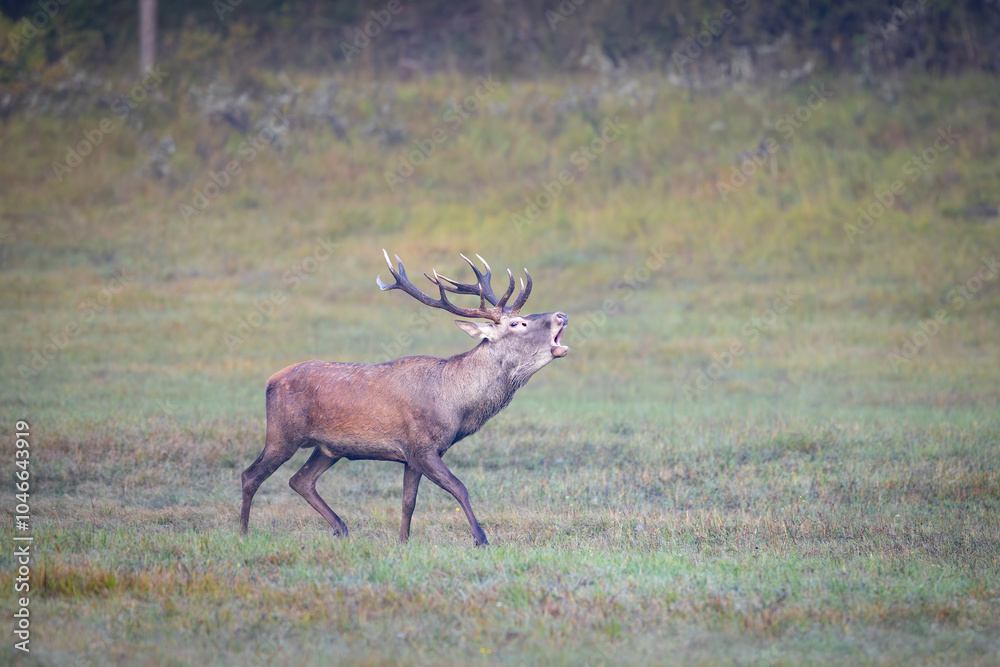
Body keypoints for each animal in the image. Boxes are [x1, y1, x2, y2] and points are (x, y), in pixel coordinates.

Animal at [240, 250, 569, 547]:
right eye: (517, 324)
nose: (561, 315)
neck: (456, 405)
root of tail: (271, 380)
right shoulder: (423, 446)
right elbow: (459, 488)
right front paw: (481, 540)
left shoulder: (412, 455)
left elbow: (408, 501)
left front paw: (403, 542)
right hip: (282, 433)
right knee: (250, 475)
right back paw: (242, 533)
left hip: (328, 448)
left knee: (301, 480)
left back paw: (341, 529)